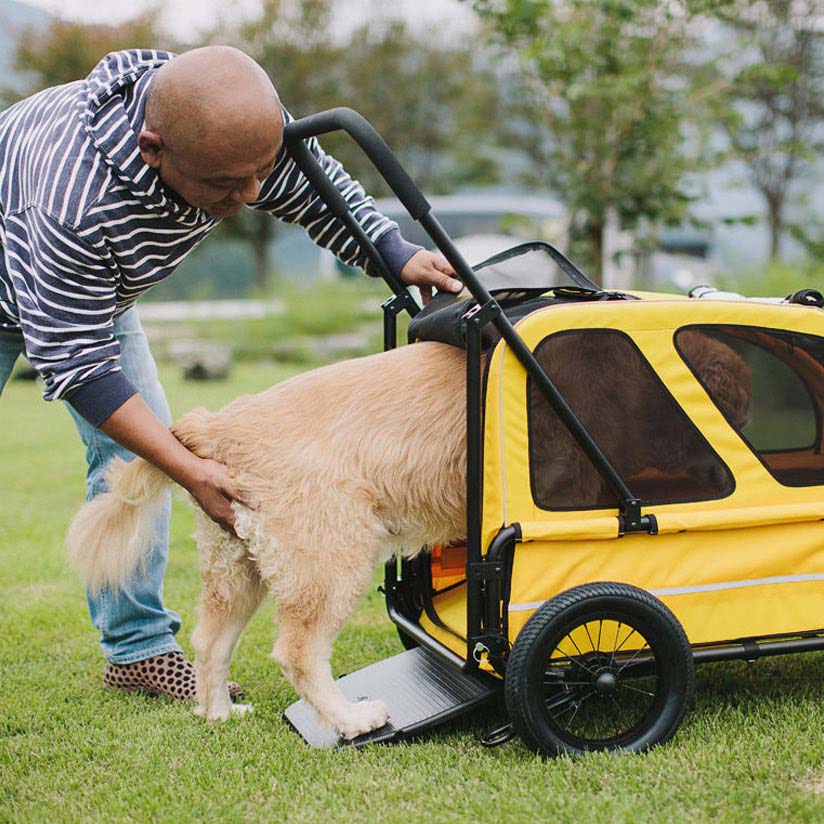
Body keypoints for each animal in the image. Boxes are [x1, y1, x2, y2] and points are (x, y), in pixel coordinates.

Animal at [64, 328, 748, 740]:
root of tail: (220, 425)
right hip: (331, 557)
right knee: (298, 652)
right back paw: (350, 718)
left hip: (240, 564)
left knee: (210, 642)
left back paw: (219, 713)